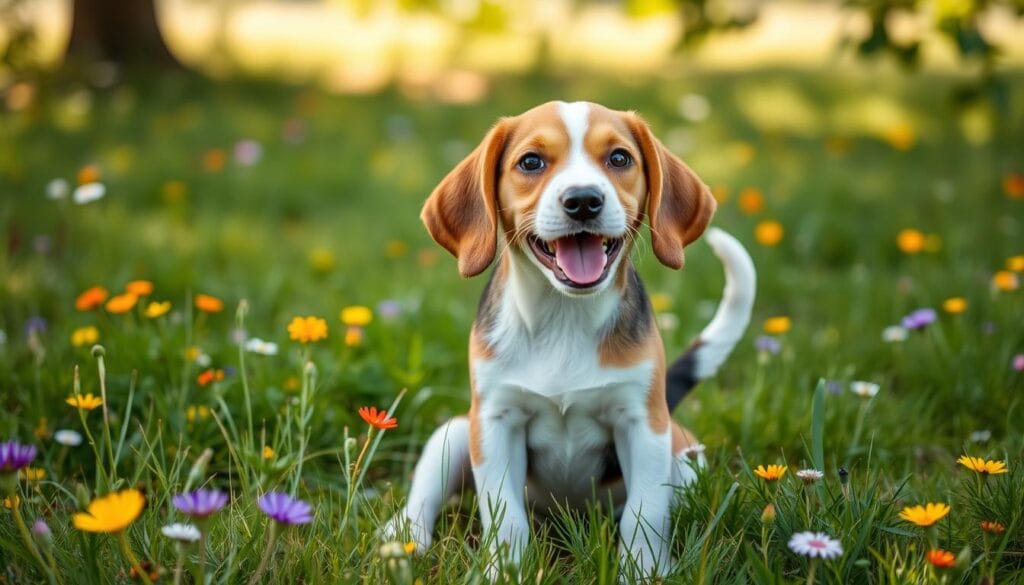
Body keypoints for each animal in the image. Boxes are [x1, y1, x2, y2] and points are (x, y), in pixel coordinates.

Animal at [382, 100, 753, 581]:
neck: (564, 317)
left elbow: (645, 513)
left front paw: (643, 571)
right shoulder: (496, 420)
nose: (583, 200)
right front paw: (506, 571)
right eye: (531, 162)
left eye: (619, 158)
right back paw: (402, 538)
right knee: (425, 497)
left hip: (685, 456)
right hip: (457, 431)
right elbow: (506, 515)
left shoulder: (643, 424)